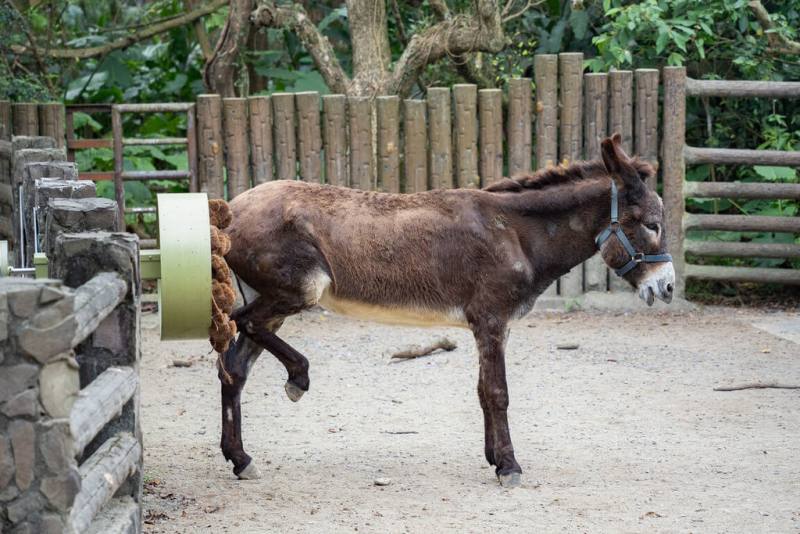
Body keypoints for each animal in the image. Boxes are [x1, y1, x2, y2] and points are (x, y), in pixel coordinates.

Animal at [215, 133, 675, 487]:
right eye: (652, 225)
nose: (668, 287)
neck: (517, 233)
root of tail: (230, 210)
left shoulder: (493, 326)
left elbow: (483, 391)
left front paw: (493, 458)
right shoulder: (490, 320)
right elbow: (498, 393)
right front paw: (510, 467)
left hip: (280, 297)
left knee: (235, 365)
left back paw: (241, 460)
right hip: (300, 290)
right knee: (244, 322)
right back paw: (298, 377)